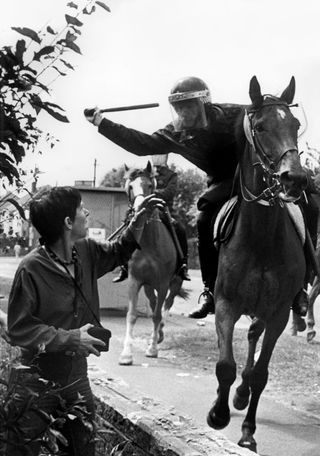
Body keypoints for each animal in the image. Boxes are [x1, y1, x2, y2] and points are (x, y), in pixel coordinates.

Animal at [117, 162, 184, 366]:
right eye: (130, 187)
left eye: (149, 185)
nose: (140, 209)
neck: (148, 243)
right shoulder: (135, 280)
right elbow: (132, 315)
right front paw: (126, 355)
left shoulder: (163, 284)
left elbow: (156, 315)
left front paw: (153, 349)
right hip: (148, 286)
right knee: (155, 303)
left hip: (174, 283)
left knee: (165, 306)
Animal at [208, 75, 308, 452]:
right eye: (261, 126)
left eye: (294, 126)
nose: (296, 178)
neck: (262, 238)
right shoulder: (226, 304)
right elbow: (225, 364)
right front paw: (218, 414)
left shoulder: (278, 314)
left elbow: (260, 374)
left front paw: (248, 432)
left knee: (253, 341)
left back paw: (240, 395)